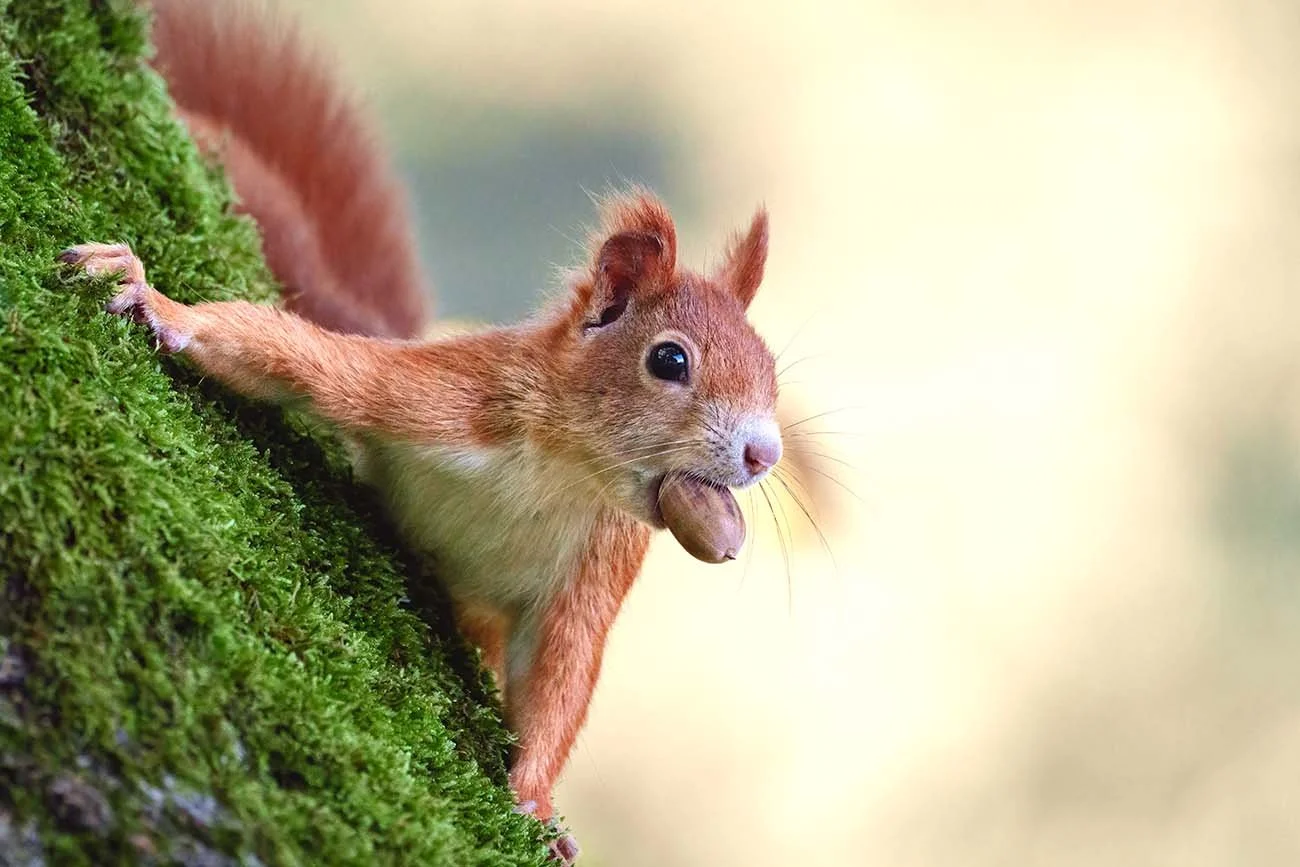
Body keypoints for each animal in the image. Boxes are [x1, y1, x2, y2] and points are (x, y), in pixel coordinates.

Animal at [62, 0, 783, 859]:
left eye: (773, 369)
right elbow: (307, 360)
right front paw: (156, 300)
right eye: (669, 359)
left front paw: (537, 804)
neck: (563, 470)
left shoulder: (599, 562)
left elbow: (561, 674)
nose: (765, 452)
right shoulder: (437, 398)